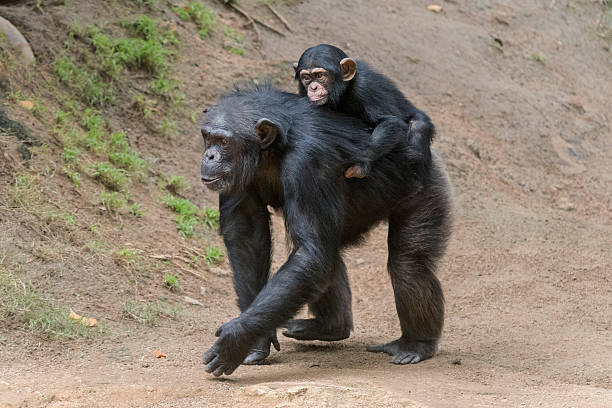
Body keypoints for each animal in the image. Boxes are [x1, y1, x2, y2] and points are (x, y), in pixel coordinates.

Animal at [200, 85, 450, 376]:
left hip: (427, 186)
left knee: (408, 264)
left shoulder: (308, 163)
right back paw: (330, 327)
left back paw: (416, 344)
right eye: (207, 137)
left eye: (224, 142)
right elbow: (246, 234)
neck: (272, 150)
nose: (209, 156)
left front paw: (236, 338)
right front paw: (256, 341)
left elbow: (310, 254)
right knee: (326, 253)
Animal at [296, 43, 436, 180]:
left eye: (320, 76)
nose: (313, 87)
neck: (344, 89)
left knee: (418, 129)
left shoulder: (365, 87)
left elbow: (390, 121)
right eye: (306, 78)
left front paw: (361, 162)